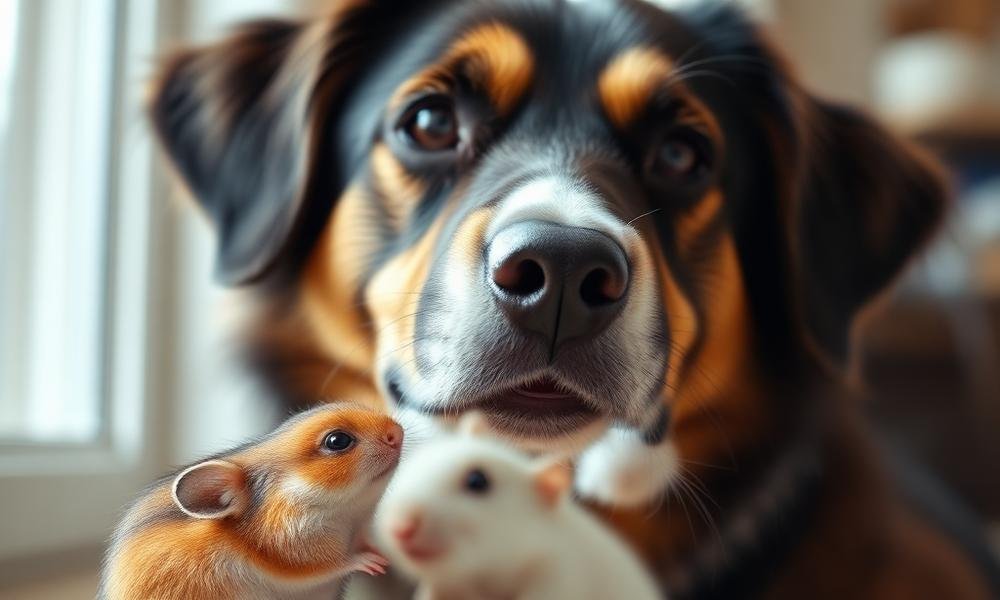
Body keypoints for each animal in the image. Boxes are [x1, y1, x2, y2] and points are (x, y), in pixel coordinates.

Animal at [101, 404, 404, 600]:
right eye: (337, 440)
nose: (398, 432)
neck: (350, 519)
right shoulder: (293, 555)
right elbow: (335, 563)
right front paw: (372, 562)